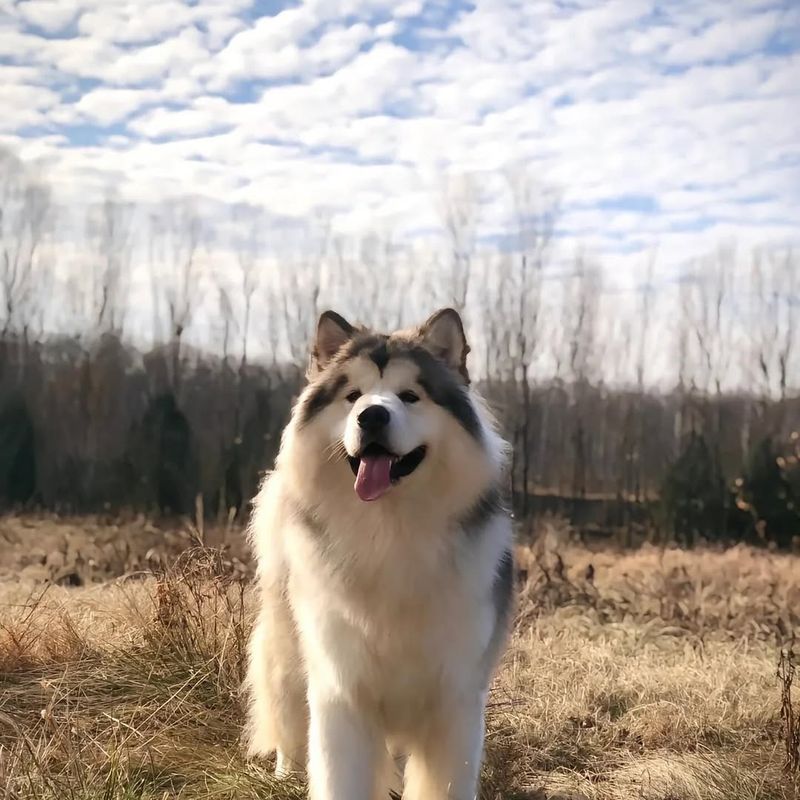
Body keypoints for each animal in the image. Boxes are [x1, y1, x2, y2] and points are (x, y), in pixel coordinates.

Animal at [244, 308, 512, 800]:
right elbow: (340, 774)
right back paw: (286, 770)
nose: (371, 416)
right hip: (287, 645)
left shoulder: (456, 696)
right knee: (287, 708)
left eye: (410, 396)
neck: (389, 531)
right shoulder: (340, 688)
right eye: (352, 396)